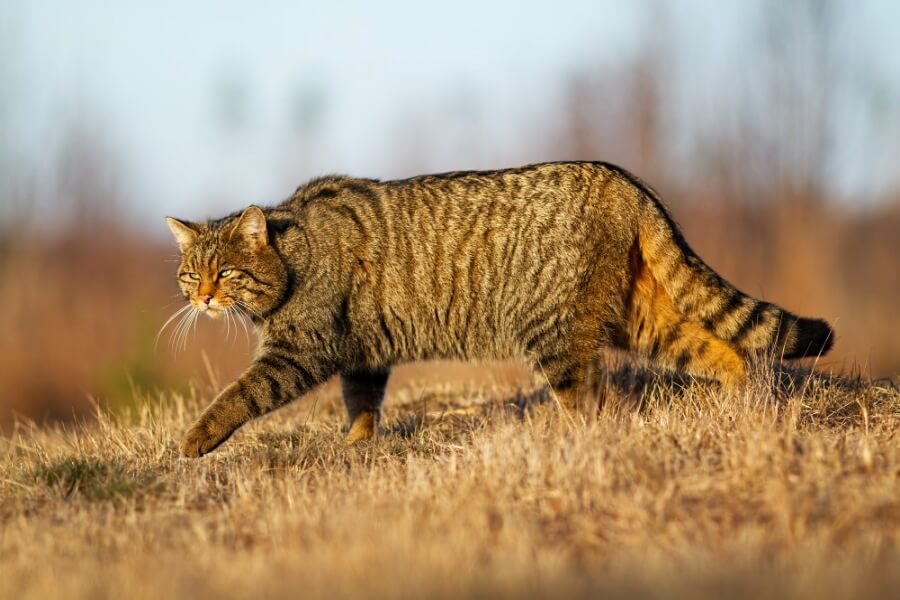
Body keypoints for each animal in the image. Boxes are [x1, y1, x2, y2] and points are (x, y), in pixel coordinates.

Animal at [165, 162, 832, 458]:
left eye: (226, 272)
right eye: (191, 272)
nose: (202, 298)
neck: (294, 254)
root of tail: (622, 178)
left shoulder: (301, 351)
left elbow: (240, 394)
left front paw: (196, 438)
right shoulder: (363, 353)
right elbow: (361, 405)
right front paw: (357, 447)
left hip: (557, 337)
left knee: (590, 403)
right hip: (643, 319)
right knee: (722, 348)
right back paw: (746, 405)